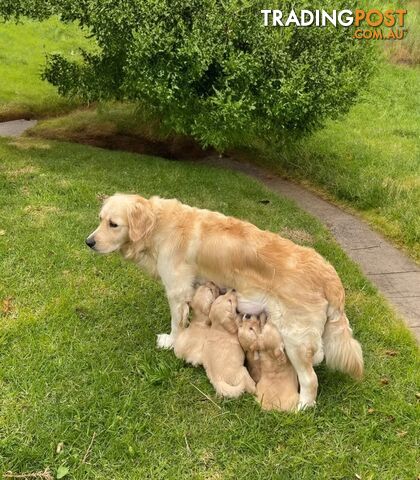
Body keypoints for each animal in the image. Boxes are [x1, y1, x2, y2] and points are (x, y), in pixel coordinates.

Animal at [85, 193, 364, 406]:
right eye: (100, 219)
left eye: (113, 224)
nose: (88, 242)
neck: (158, 225)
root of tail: (330, 275)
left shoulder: (177, 290)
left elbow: (177, 323)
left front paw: (170, 341)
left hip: (294, 337)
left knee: (310, 379)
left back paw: (303, 407)